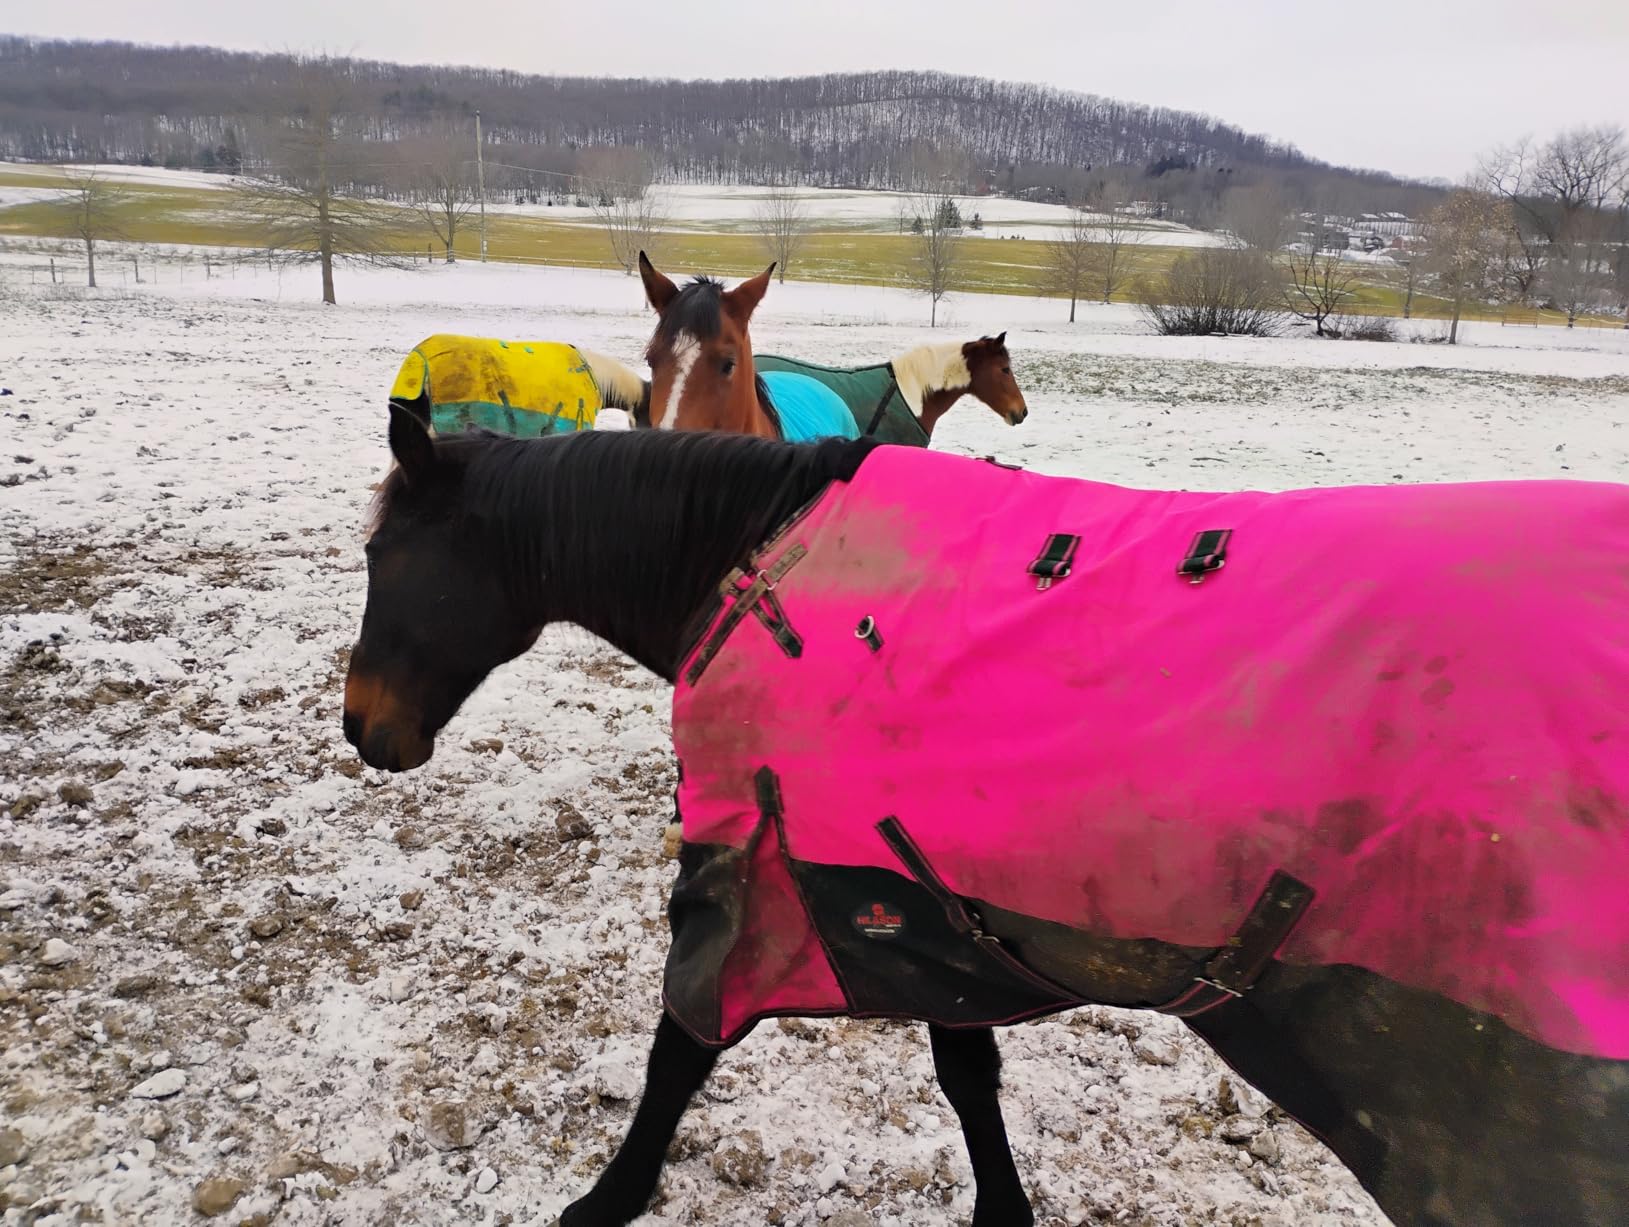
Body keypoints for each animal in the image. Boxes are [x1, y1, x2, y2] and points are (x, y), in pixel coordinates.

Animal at [343, 416, 1629, 1227]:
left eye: (380, 552)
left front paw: (605, 1200)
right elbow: (968, 1079)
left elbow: (678, 1055)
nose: (363, 729)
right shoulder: (920, 911)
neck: (761, 559)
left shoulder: (755, 879)